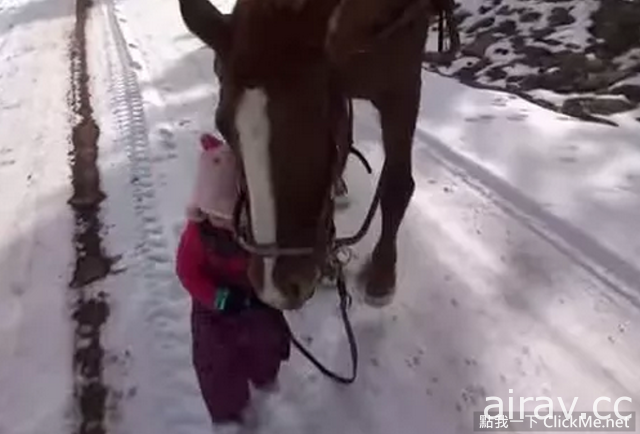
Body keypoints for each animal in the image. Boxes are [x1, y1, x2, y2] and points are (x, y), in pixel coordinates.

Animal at [179, 0, 460, 312]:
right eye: (222, 125)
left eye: (316, 116)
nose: (276, 287)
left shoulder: (402, 85)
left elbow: (397, 185)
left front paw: (383, 272)